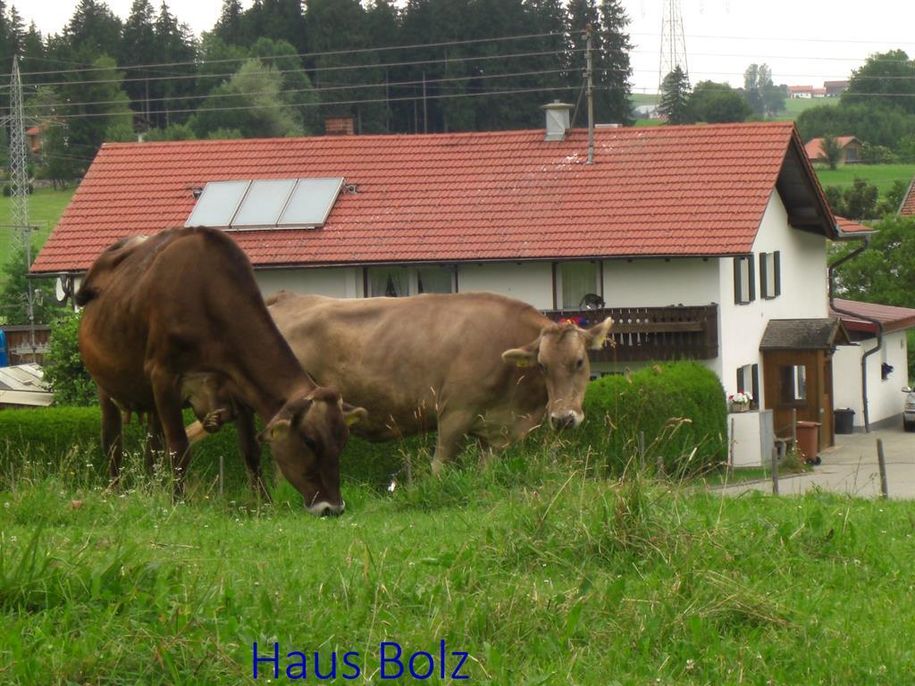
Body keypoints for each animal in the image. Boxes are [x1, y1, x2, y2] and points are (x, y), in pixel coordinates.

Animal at [75, 228, 366, 520]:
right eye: (309, 441)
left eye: (342, 441)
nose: (332, 507)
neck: (205, 297)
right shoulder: (164, 377)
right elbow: (178, 448)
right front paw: (178, 503)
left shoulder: (240, 385)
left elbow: (251, 451)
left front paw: (264, 503)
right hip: (106, 385)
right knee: (113, 443)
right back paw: (117, 493)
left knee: (152, 448)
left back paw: (150, 492)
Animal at [258, 290, 612, 472]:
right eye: (542, 365)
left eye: (579, 361)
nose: (563, 418)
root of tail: (288, 298)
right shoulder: (454, 414)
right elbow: (439, 468)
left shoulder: (493, 431)